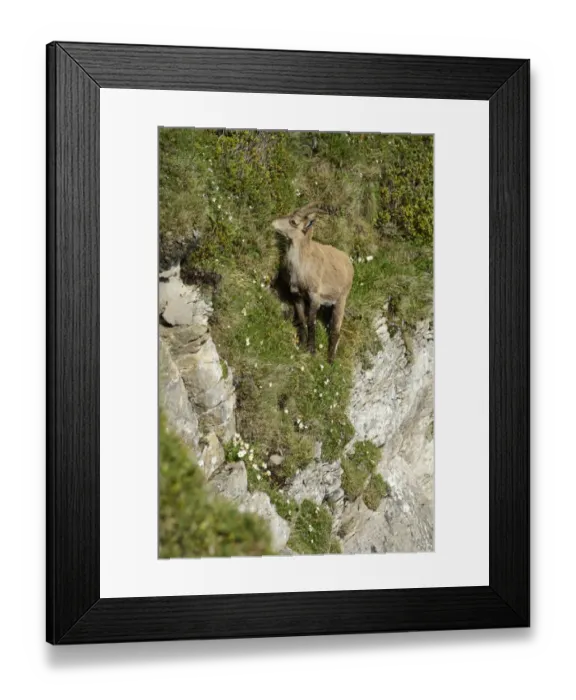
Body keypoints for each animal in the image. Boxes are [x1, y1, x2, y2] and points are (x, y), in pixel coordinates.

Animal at [272, 202, 354, 363]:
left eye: (293, 222)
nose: (273, 223)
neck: (303, 265)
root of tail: (350, 264)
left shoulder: (315, 296)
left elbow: (311, 321)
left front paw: (311, 350)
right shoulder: (296, 294)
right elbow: (302, 320)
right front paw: (301, 344)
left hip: (342, 298)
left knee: (336, 331)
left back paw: (330, 360)